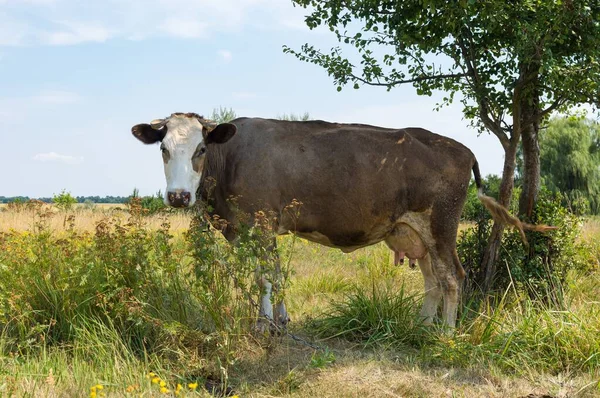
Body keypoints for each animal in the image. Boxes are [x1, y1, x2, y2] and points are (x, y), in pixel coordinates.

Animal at [132, 112, 552, 330]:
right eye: (164, 149)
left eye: (201, 148)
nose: (178, 196)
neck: (231, 157)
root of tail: (461, 148)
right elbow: (278, 274)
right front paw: (282, 321)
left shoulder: (259, 224)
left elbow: (264, 277)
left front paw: (263, 325)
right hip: (415, 231)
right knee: (432, 279)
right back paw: (421, 326)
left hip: (441, 225)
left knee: (452, 278)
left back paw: (446, 334)